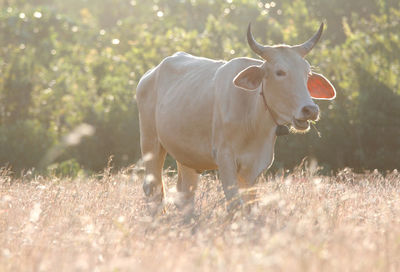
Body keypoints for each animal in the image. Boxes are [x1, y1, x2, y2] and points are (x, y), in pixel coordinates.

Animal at [137, 22, 334, 210]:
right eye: (280, 72)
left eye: (307, 73)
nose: (310, 110)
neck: (252, 115)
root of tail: (150, 74)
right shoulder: (225, 158)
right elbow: (234, 204)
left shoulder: (257, 166)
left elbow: (249, 206)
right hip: (151, 143)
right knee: (153, 189)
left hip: (186, 156)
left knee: (185, 195)